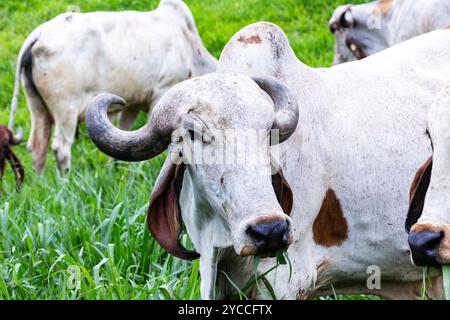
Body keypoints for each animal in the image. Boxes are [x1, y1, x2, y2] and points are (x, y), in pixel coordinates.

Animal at [8, 0, 216, 175]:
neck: (189, 44)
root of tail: (38, 36)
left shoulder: (133, 103)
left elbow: (126, 134)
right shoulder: (161, 92)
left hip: (37, 107)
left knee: (37, 147)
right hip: (65, 109)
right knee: (61, 148)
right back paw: (65, 181)